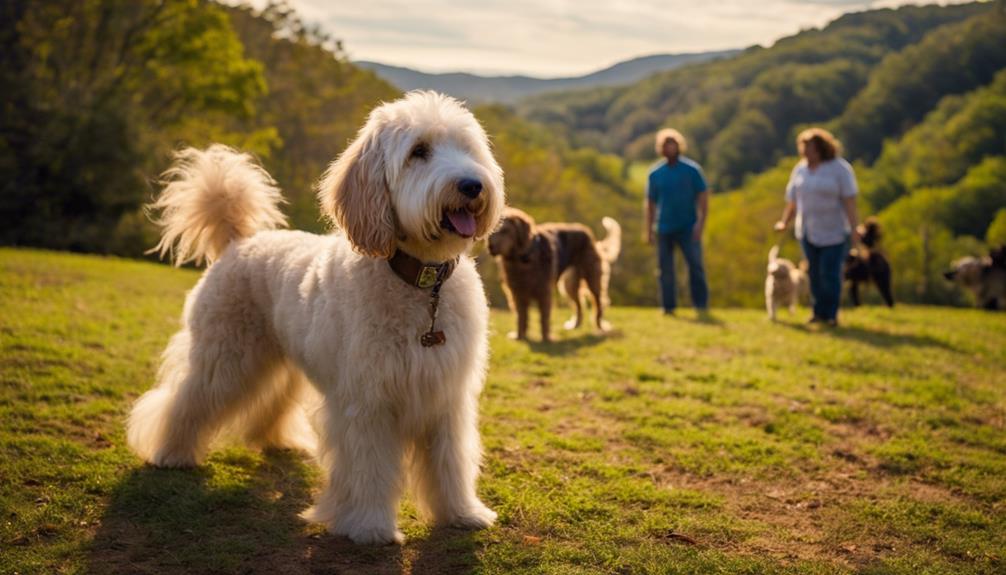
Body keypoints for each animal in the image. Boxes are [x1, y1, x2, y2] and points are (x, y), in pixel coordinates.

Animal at [125, 89, 503, 542]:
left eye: (466, 148)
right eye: (419, 151)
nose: (472, 185)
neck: (421, 285)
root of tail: (240, 241)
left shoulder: (446, 396)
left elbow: (451, 462)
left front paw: (461, 513)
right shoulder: (368, 402)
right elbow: (370, 468)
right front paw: (369, 525)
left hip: (280, 362)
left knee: (269, 402)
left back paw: (276, 440)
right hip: (223, 358)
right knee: (185, 400)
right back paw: (171, 452)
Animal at [488, 208, 619, 339]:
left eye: (505, 230)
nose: (490, 247)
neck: (523, 259)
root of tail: (589, 234)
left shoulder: (544, 292)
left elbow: (544, 318)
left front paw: (546, 339)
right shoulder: (517, 293)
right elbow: (521, 317)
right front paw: (520, 337)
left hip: (592, 280)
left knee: (599, 304)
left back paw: (600, 327)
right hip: (569, 285)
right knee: (579, 305)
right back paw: (575, 325)